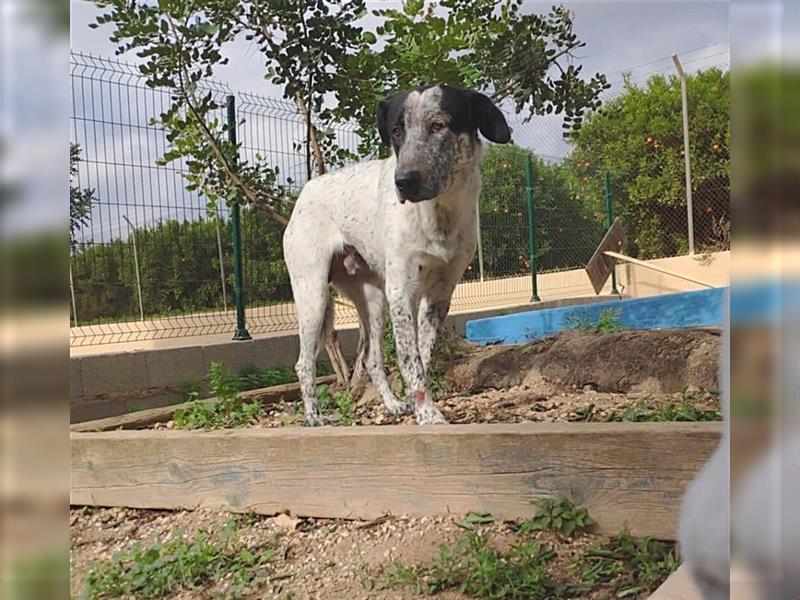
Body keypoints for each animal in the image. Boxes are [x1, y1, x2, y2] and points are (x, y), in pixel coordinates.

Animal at [284, 84, 510, 426]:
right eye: (396, 130)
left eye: (438, 125)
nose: (403, 182)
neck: (437, 215)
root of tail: (305, 191)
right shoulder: (402, 291)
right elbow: (409, 358)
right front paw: (428, 415)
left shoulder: (440, 294)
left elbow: (422, 356)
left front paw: (419, 407)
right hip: (313, 296)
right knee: (303, 363)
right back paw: (314, 417)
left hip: (373, 300)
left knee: (371, 358)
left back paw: (391, 405)